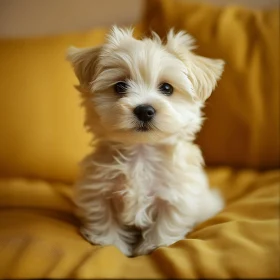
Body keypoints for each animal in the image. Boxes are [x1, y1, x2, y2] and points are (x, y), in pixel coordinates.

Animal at [67, 26, 225, 256]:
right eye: (120, 86)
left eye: (167, 88)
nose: (144, 110)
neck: (141, 153)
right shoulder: (98, 190)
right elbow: (104, 218)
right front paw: (111, 244)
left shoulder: (177, 194)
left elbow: (166, 223)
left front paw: (154, 246)